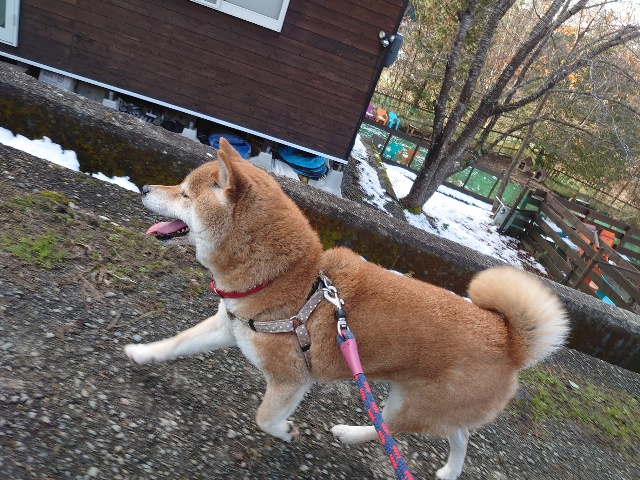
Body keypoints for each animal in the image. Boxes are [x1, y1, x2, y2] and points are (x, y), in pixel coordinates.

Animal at [125, 138, 569, 480]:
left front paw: (286, 432)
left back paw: (350, 434)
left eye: (184, 193)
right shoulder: (227, 327)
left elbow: (264, 418)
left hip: (411, 403)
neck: (287, 276)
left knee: (391, 429)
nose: (144, 186)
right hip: (425, 401)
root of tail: (511, 342)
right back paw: (448, 471)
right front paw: (140, 353)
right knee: (459, 436)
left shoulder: (291, 378)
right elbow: (175, 344)